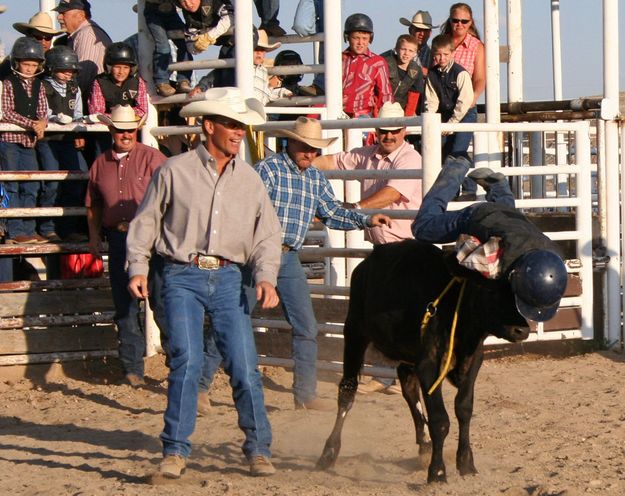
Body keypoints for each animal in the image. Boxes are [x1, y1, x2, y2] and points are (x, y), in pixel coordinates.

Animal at [320, 240, 528, 484]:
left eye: (515, 293)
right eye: (490, 290)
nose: (523, 329)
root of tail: (366, 263)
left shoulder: (473, 361)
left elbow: (464, 409)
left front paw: (466, 463)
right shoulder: (429, 366)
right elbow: (440, 420)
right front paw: (437, 472)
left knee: (409, 389)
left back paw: (425, 444)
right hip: (354, 332)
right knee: (347, 392)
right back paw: (328, 452)